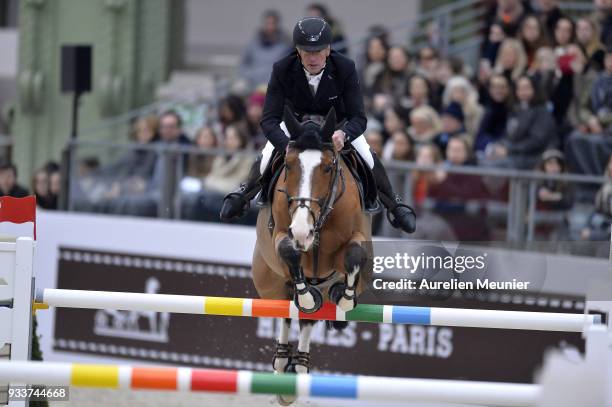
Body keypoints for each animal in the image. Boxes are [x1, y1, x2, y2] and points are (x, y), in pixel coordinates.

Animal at [251, 107, 370, 406]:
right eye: (289, 165)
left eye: (327, 167)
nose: (303, 231)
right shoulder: (283, 235)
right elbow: (289, 252)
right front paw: (306, 297)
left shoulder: (354, 240)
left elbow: (354, 254)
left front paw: (346, 298)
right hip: (269, 283)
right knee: (286, 311)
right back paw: (284, 364)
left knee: (308, 318)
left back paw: (299, 367)